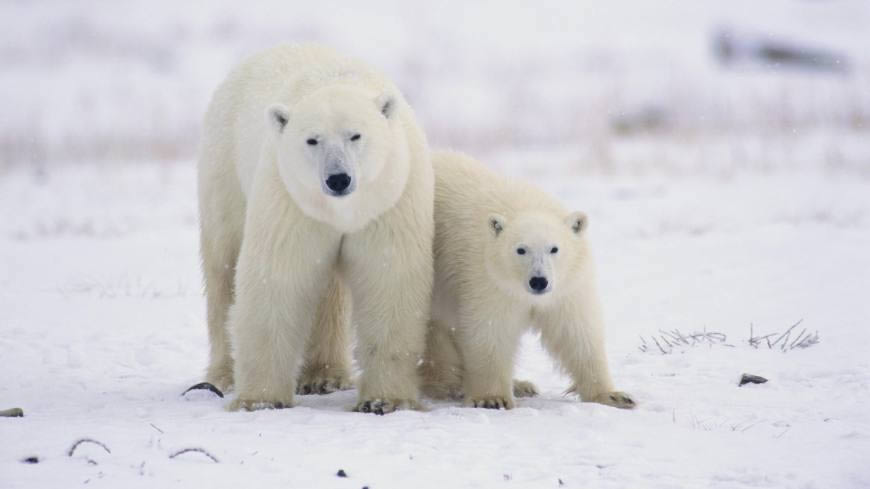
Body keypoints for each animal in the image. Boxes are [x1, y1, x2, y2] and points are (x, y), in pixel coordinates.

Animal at [202, 44, 440, 412]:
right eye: (312, 140)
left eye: (356, 135)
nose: (338, 178)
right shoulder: (290, 198)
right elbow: (278, 275)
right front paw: (260, 399)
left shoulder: (389, 199)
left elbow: (388, 277)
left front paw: (384, 400)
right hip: (224, 168)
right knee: (222, 270)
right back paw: (223, 375)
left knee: (329, 292)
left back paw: (325, 375)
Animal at [422, 151, 632, 410]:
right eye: (520, 250)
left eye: (554, 248)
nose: (539, 281)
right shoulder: (488, 278)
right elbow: (491, 330)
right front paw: (492, 398)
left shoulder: (567, 286)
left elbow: (576, 332)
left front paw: (613, 396)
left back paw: (522, 385)